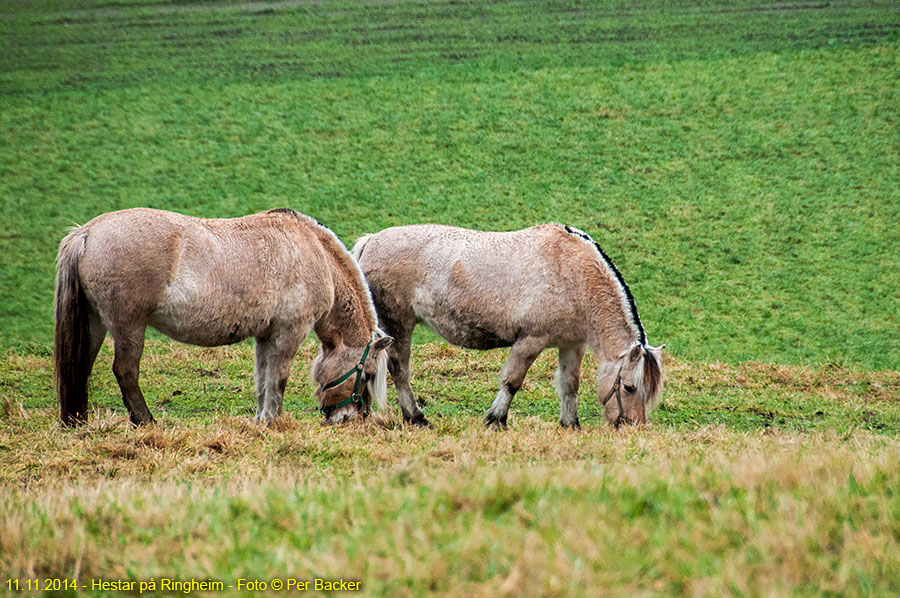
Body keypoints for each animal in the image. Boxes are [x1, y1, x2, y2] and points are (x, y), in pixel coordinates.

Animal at [54, 209, 392, 428]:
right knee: (125, 371)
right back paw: (145, 421)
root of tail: (87, 233)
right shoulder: (289, 332)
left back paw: (78, 421)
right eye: (368, 373)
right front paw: (274, 421)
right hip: (129, 327)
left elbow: (263, 378)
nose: (351, 418)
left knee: (81, 367)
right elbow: (279, 377)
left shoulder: (266, 335)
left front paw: (261, 420)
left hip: (95, 324)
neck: (310, 250)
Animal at [356, 223, 664, 428]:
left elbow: (570, 383)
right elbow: (512, 381)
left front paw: (570, 424)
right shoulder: (530, 341)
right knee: (399, 368)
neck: (572, 272)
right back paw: (416, 417)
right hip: (399, 324)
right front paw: (496, 420)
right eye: (629, 388)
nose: (633, 427)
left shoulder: (572, 344)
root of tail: (371, 241)